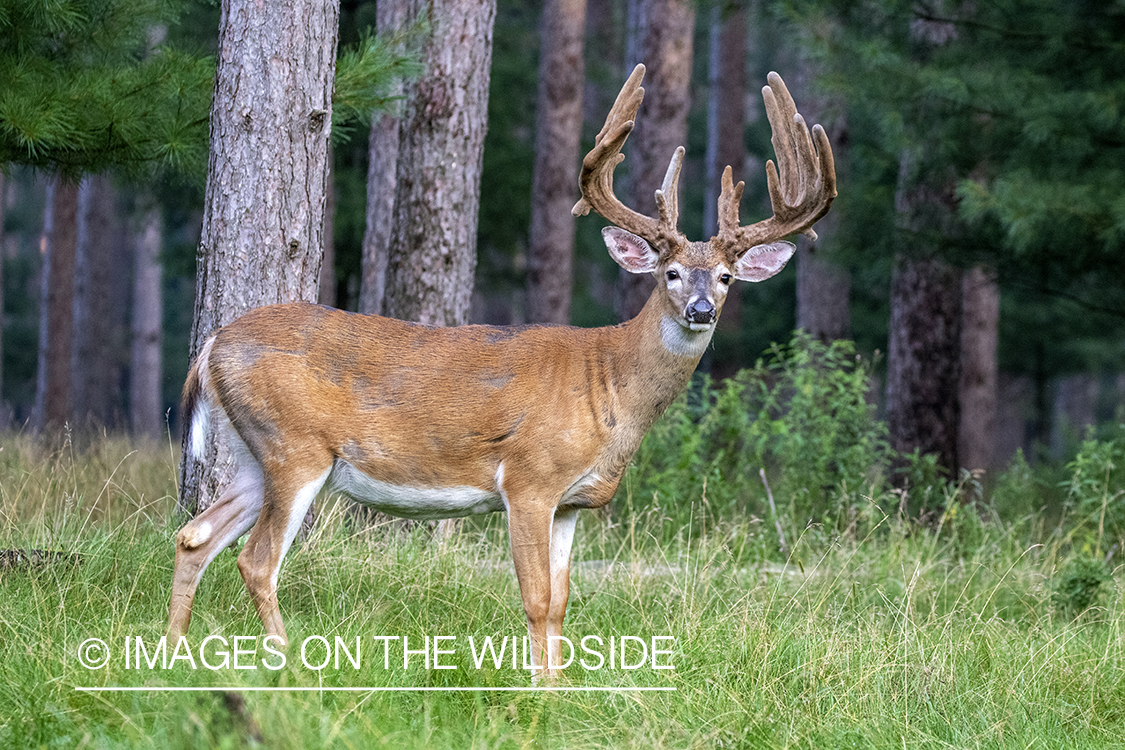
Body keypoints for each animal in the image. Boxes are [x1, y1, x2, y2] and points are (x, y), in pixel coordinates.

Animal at [168, 64, 837, 679]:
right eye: (669, 273)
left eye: (725, 277)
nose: (701, 310)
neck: (608, 385)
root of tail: (214, 343)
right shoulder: (529, 480)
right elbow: (536, 599)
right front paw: (539, 699)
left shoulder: (571, 503)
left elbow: (563, 602)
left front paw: (562, 690)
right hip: (296, 446)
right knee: (255, 560)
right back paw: (290, 667)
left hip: (256, 455)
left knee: (195, 535)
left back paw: (172, 654)